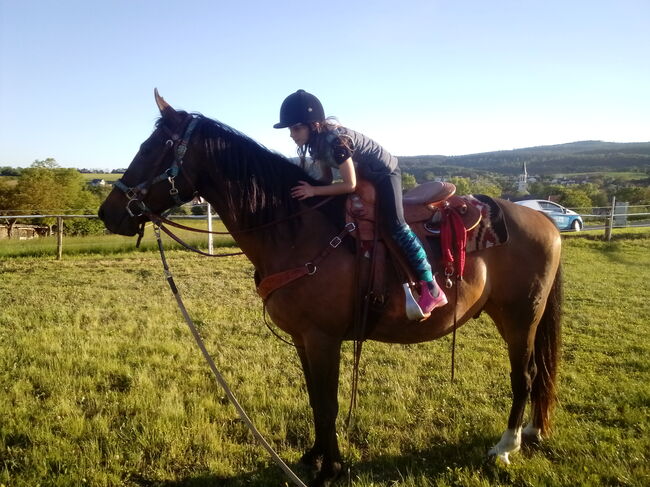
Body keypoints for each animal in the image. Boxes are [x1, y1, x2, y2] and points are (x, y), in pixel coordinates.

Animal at [98, 92, 560, 487]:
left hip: (520, 317)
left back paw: (505, 447)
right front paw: (315, 456)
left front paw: (330, 469)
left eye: (154, 147)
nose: (109, 213)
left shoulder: (324, 338)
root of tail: (544, 220)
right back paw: (531, 432)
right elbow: (315, 401)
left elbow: (329, 402)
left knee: (524, 376)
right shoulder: (305, 340)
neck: (295, 229)